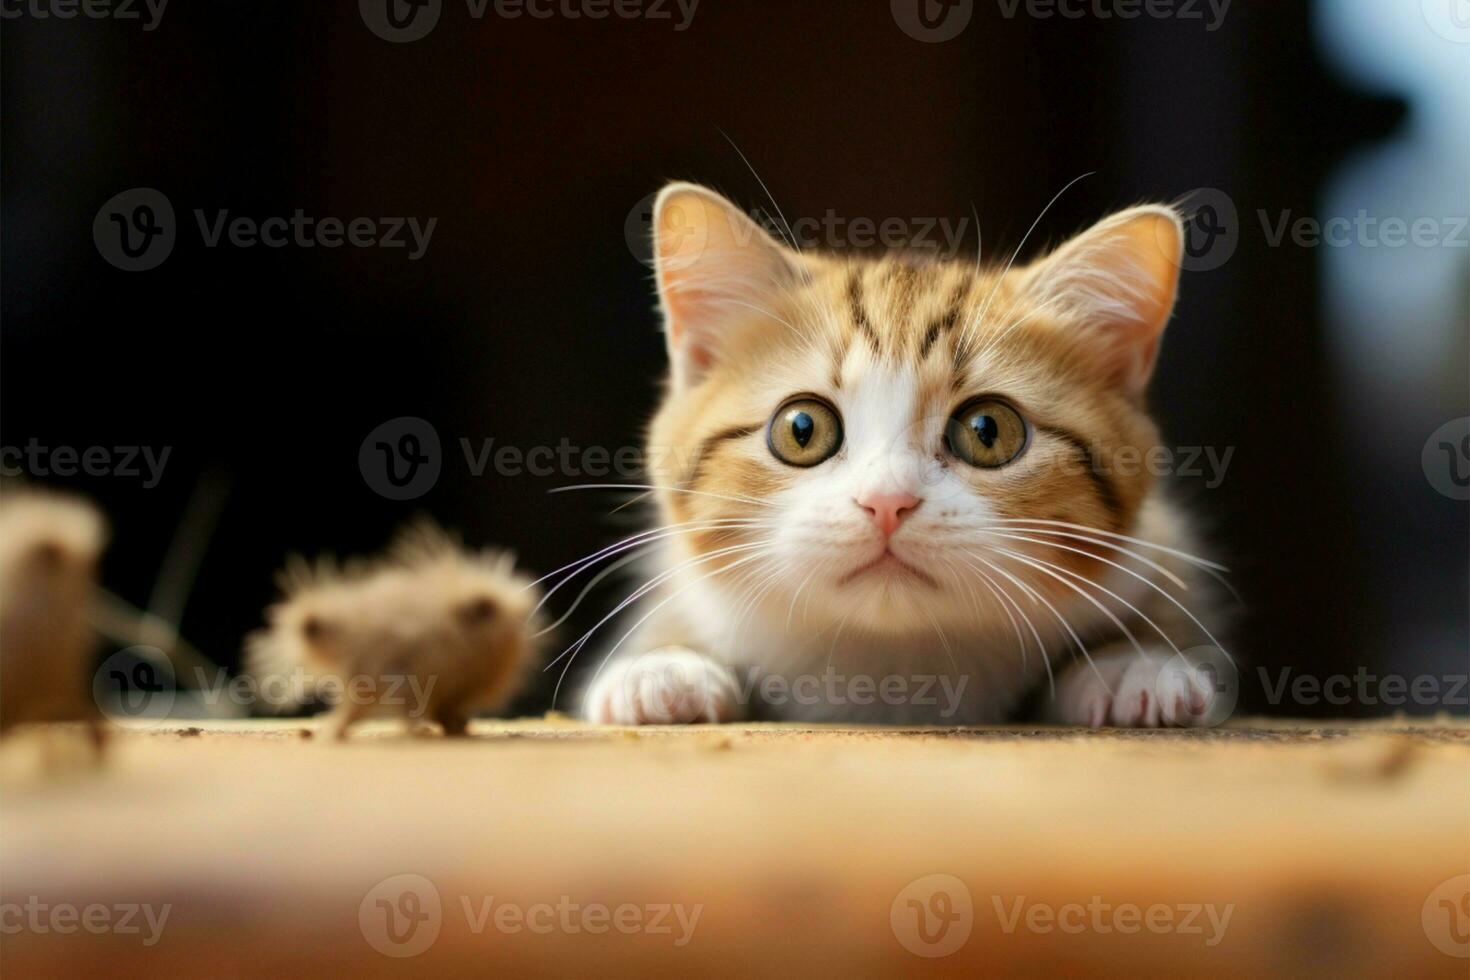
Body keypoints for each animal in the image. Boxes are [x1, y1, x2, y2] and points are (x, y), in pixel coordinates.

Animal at [579, 182, 1234, 728]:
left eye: (988, 431)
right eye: (801, 429)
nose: (886, 502)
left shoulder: (1162, 542)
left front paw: (1131, 663)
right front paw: (663, 664)